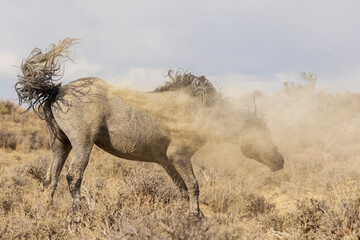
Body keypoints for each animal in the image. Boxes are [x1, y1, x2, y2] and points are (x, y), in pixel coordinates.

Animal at [15, 39, 282, 219]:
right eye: (262, 131)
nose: (280, 160)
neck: (200, 111)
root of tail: (57, 90)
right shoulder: (179, 156)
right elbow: (194, 185)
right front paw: (195, 216)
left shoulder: (167, 161)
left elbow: (183, 188)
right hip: (82, 144)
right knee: (73, 177)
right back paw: (79, 214)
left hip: (61, 145)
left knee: (50, 179)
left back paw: (47, 211)